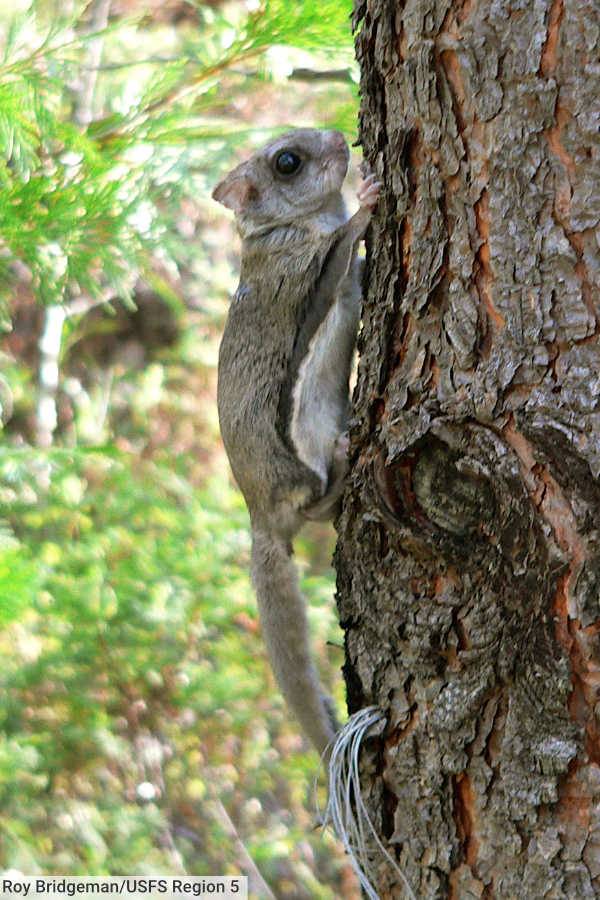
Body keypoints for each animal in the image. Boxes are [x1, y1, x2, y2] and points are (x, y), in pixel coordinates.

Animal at [212, 129, 380, 757]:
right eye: (288, 162)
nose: (340, 137)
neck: (278, 230)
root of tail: (261, 517)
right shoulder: (303, 275)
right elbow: (342, 255)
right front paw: (367, 203)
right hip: (301, 458)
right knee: (316, 503)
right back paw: (342, 463)